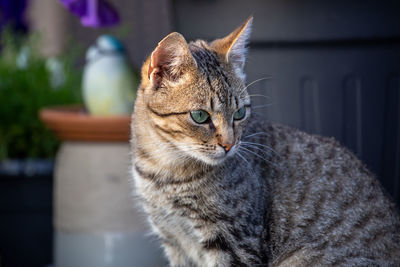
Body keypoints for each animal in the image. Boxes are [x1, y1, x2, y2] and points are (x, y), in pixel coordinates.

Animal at [131, 17, 400, 267]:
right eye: (200, 116)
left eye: (239, 113)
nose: (229, 144)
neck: (165, 171)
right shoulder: (174, 240)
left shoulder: (233, 241)